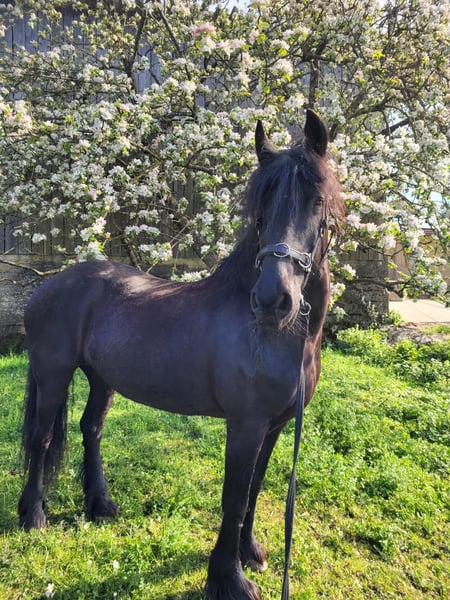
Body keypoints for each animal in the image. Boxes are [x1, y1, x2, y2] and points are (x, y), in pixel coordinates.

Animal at [18, 109, 344, 599]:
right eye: (261, 208)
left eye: (316, 201)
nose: (273, 300)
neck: (280, 339)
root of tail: (48, 286)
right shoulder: (245, 425)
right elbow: (234, 496)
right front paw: (229, 578)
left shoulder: (275, 426)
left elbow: (255, 488)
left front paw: (250, 552)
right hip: (53, 374)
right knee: (40, 438)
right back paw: (33, 516)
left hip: (101, 379)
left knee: (90, 429)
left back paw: (101, 505)